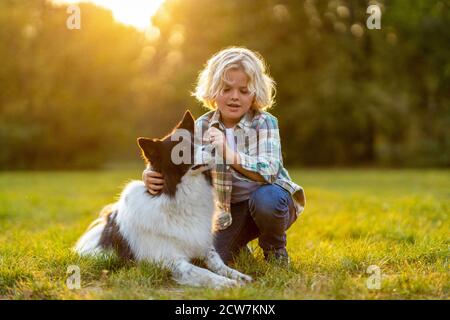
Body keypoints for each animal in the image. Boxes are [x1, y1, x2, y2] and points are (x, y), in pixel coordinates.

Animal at [76, 110, 255, 288]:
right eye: (183, 150)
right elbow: (203, 272)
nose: (214, 148)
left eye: (198, 141)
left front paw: (238, 276)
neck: (179, 193)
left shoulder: (202, 244)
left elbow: (217, 262)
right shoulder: (169, 260)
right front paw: (226, 283)